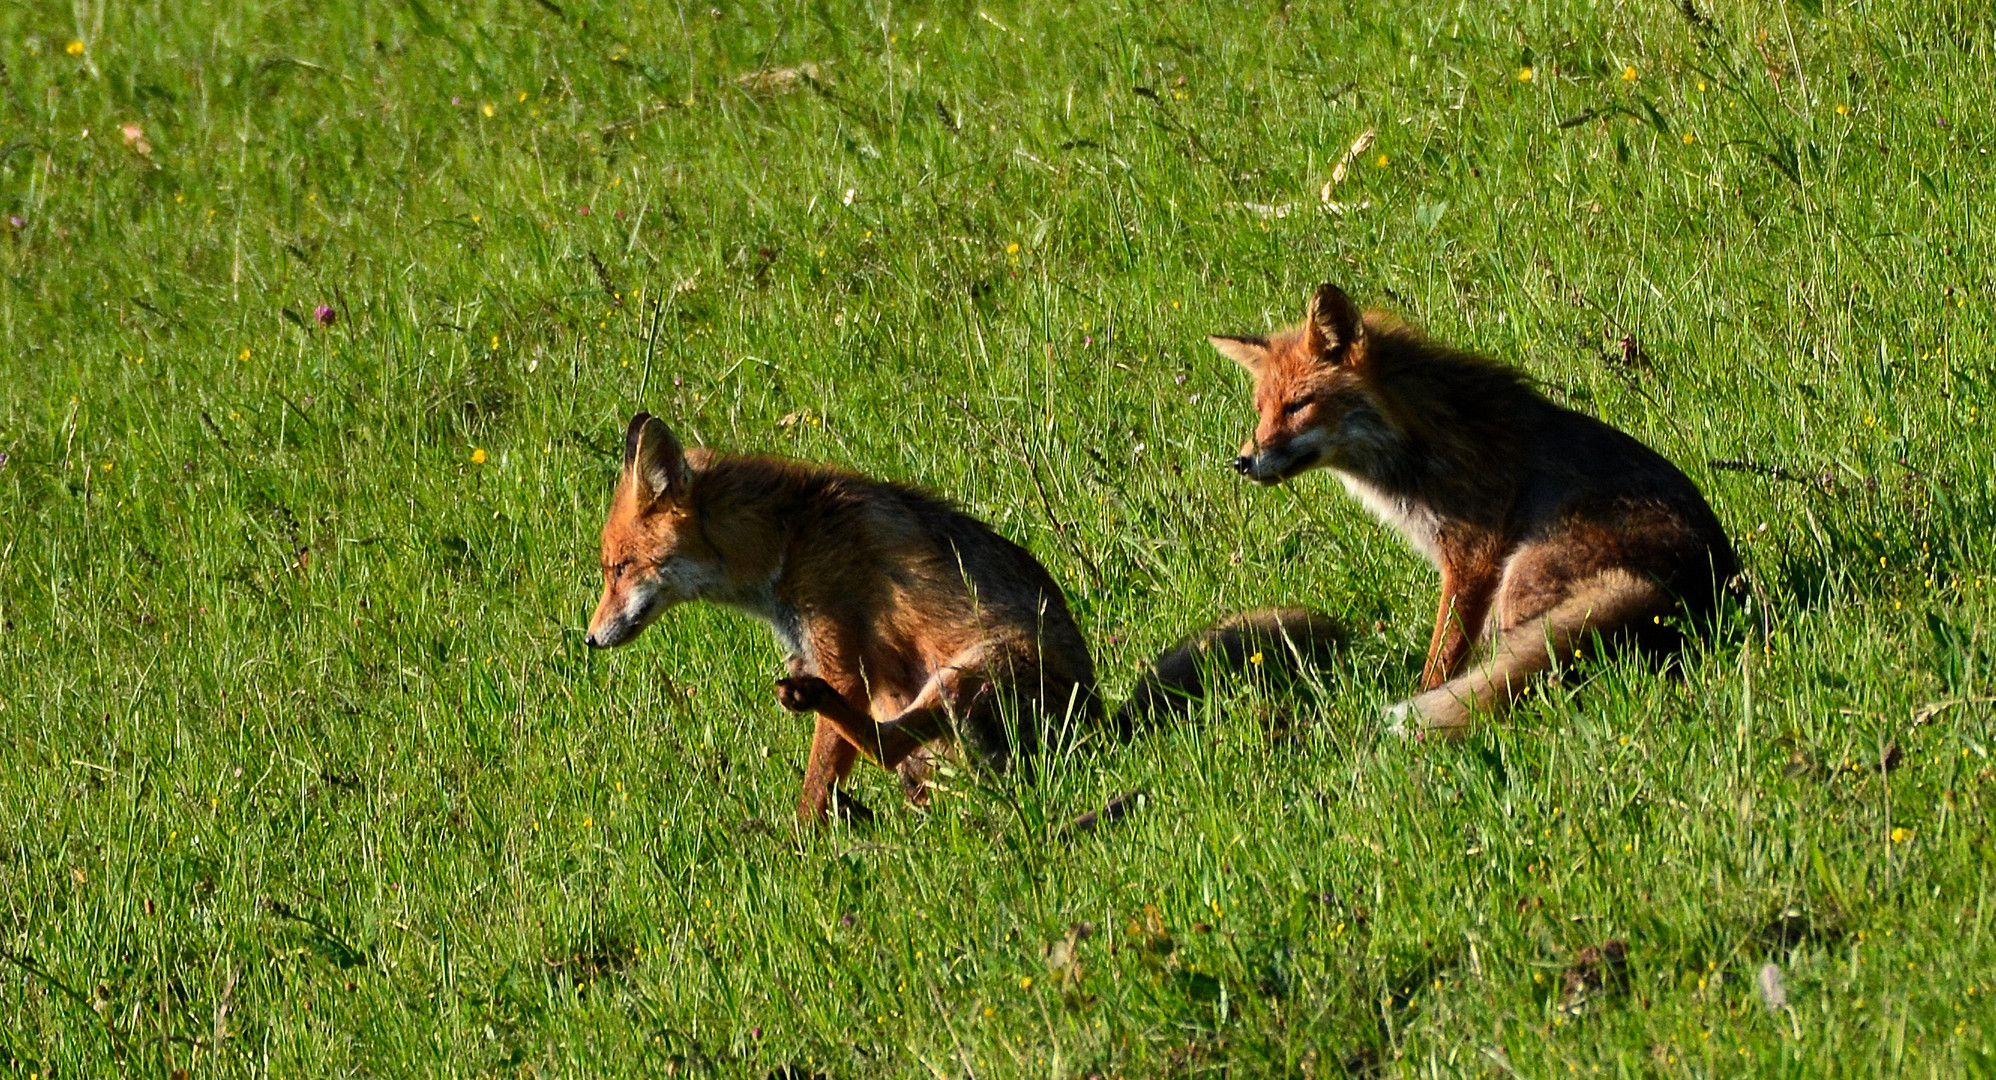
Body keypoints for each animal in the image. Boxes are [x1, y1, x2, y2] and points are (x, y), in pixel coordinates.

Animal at [586, 411, 1341, 818]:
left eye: (617, 568)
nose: (590, 639)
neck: (787, 537)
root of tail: (1105, 727)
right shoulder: (826, 657)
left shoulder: (842, 661)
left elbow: (818, 774)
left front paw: (801, 840)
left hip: (968, 670)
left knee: (887, 743)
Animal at [1205, 281, 1740, 738]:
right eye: (1261, 410)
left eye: (1299, 405)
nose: (1242, 461)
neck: (1422, 439)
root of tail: (1703, 594)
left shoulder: (1472, 558)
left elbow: (1442, 658)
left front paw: (1422, 704)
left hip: (1519, 579)